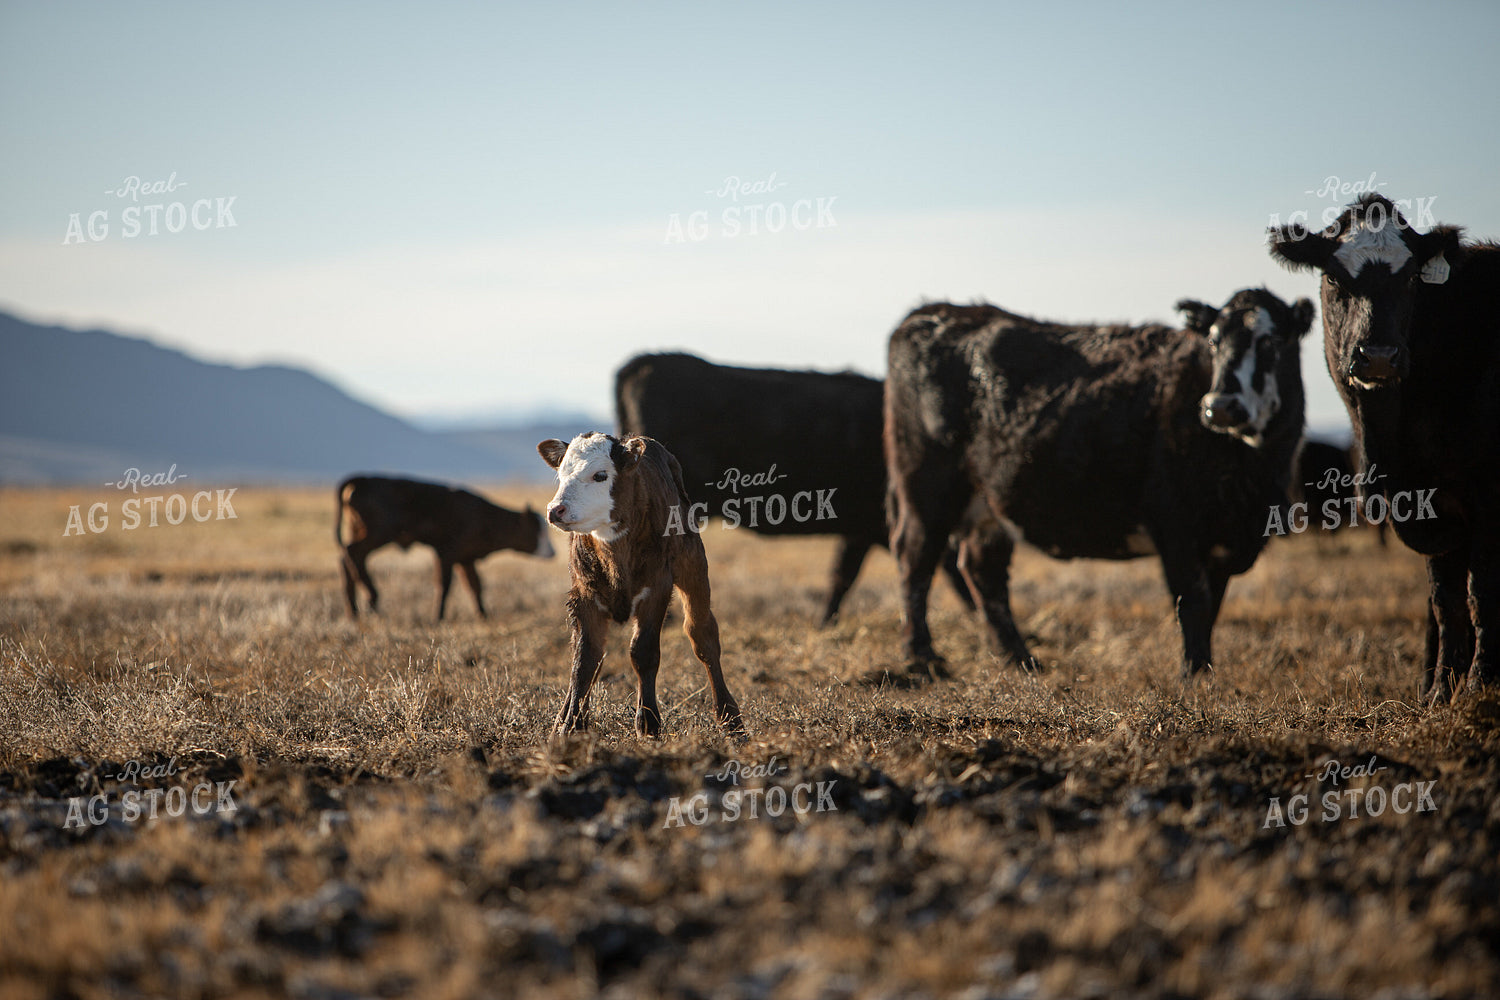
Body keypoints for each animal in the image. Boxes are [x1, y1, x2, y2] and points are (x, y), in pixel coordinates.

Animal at [337, 475, 553, 621]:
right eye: (538, 532)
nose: (552, 552)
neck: (483, 516)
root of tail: (361, 479)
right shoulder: (446, 554)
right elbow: (444, 584)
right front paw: (438, 617)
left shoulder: (466, 558)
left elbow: (475, 586)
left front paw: (482, 614)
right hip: (377, 534)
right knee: (352, 553)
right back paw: (372, 598)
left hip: (359, 530)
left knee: (347, 560)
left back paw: (352, 612)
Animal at [537, 432, 742, 737]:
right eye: (561, 474)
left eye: (600, 475)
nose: (556, 510)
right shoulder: (584, 595)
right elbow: (585, 659)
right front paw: (569, 725)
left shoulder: (656, 589)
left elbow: (643, 653)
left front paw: (648, 722)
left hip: (693, 565)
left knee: (703, 635)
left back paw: (730, 718)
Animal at [885, 289, 1313, 679]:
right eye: (1213, 341)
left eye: (1271, 341)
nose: (1220, 406)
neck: (1249, 473)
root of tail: (934, 312)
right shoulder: (1175, 524)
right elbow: (1192, 601)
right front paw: (1192, 676)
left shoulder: (1225, 540)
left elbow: (1213, 606)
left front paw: (1205, 671)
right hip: (927, 488)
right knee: (915, 558)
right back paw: (922, 658)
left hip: (990, 505)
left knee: (981, 569)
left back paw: (1019, 658)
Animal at [1269, 193, 1499, 703]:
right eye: (1334, 276)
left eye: (1412, 278)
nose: (1377, 356)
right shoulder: (1433, 505)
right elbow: (1446, 600)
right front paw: (1441, 693)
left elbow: (1480, 594)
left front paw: (1478, 688)